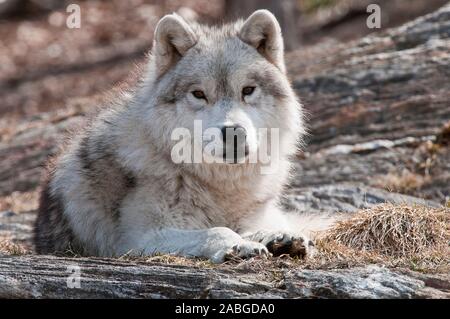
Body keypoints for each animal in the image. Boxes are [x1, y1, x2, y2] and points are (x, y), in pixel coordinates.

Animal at [34, 10, 330, 264]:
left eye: (248, 90)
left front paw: (275, 238)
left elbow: (248, 227)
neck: (218, 186)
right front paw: (239, 244)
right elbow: (217, 230)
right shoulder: (139, 239)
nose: (233, 131)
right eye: (199, 94)